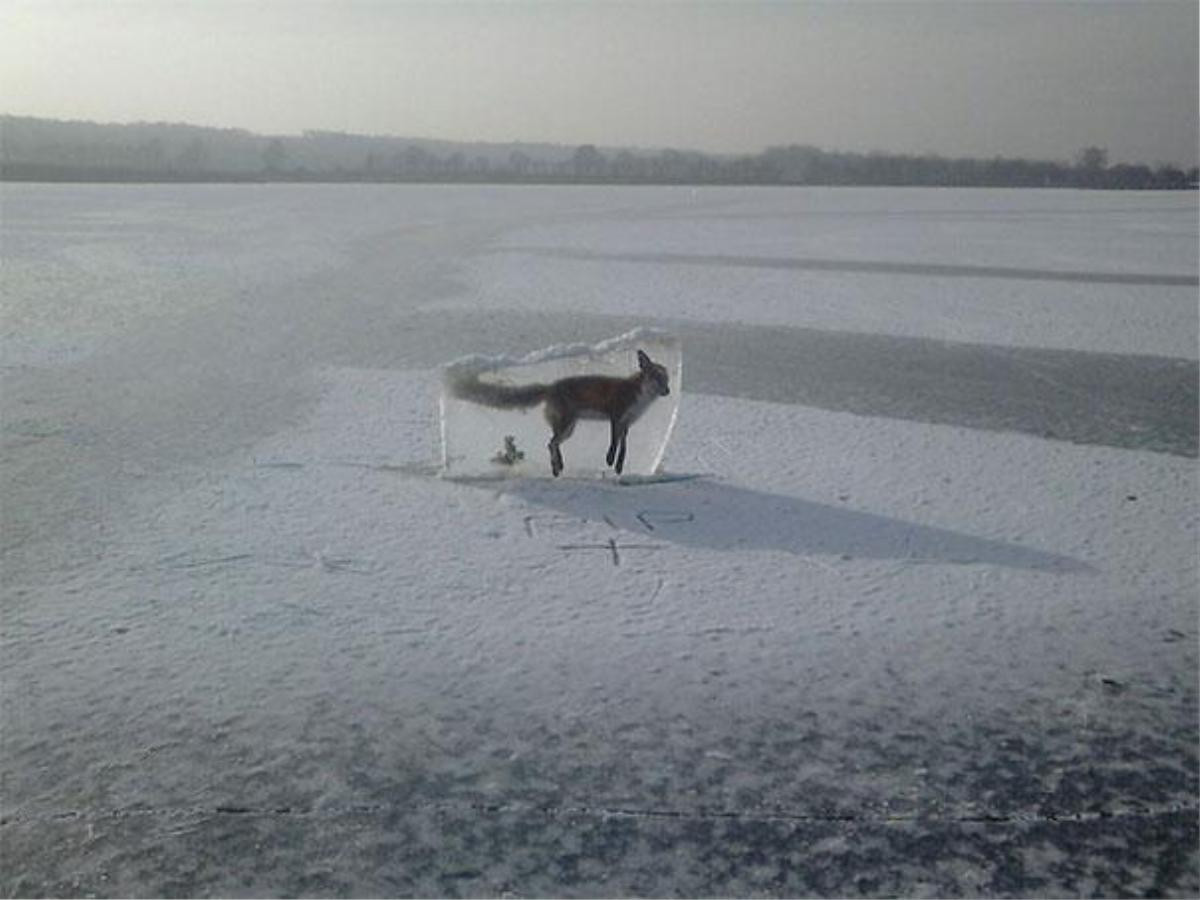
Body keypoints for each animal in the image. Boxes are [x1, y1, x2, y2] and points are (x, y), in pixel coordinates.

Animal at [451, 350, 676, 480]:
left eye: (666, 379)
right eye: (656, 378)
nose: (667, 391)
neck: (639, 398)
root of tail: (550, 386)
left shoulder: (626, 424)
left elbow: (624, 447)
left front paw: (619, 466)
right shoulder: (615, 415)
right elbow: (613, 444)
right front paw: (610, 460)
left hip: (569, 428)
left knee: (552, 444)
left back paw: (558, 467)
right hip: (567, 425)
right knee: (550, 443)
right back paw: (556, 467)